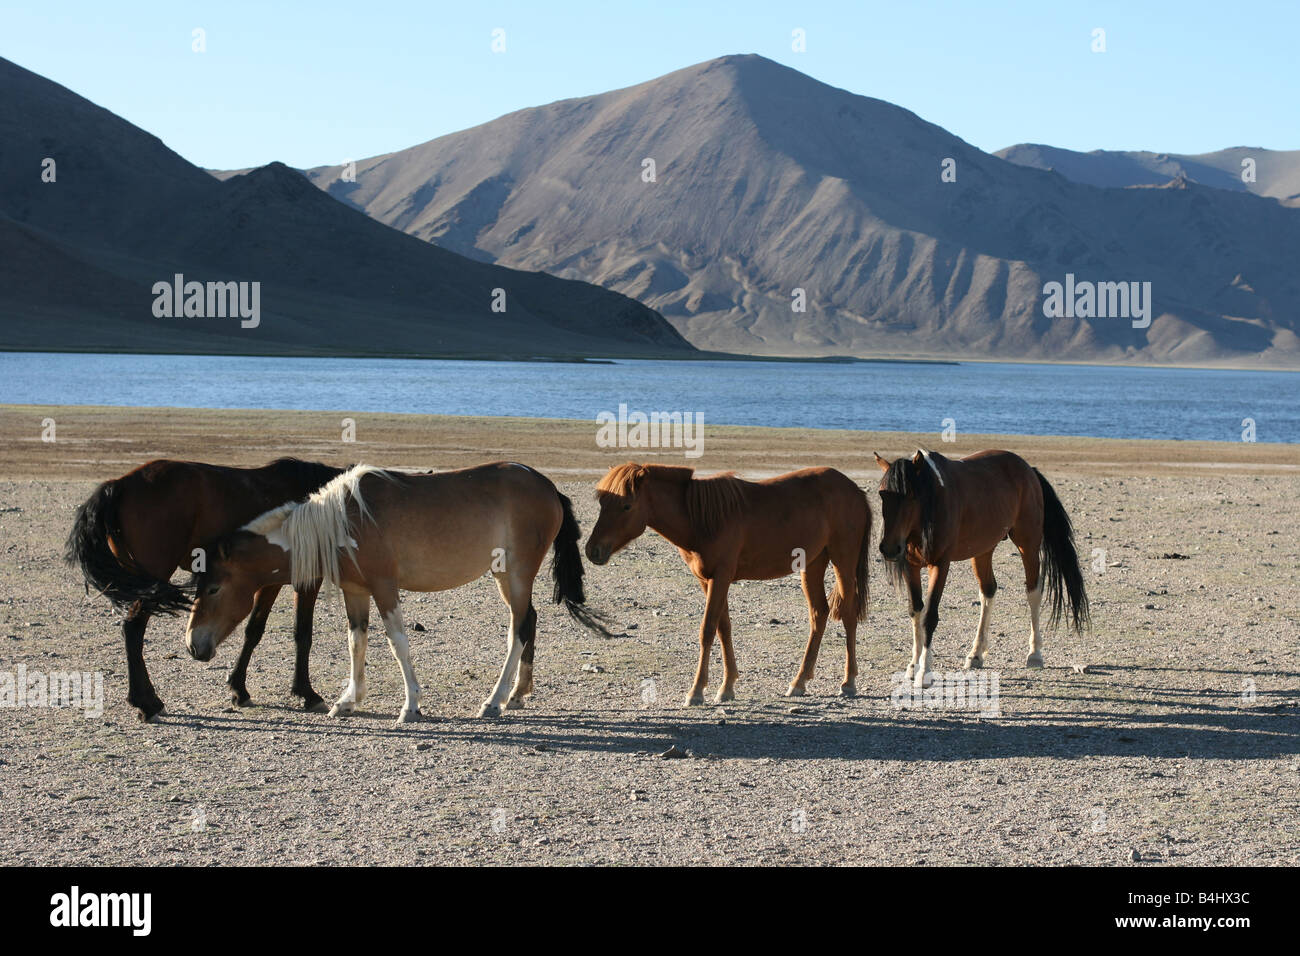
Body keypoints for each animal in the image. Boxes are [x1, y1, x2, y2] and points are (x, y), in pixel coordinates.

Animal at [64, 457, 343, 720]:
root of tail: (120, 484)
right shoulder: (305, 580)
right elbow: (302, 634)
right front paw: (307, 694)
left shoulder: (268, 582)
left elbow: (254, 630)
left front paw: (239, 689)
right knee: (133, 629)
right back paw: (147, 703)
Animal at [184, 462, 611, 722]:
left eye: (214, 587)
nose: (193, 645)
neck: (341, 522)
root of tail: (548, 487)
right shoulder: (356, 591)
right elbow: (356, 641)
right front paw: (348, 700)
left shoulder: (384, 586)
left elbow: (397, 641)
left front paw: (411, 705)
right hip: (506, 577)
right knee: (528, 623)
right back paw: (517, 695)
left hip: (518, 574)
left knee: (519, 629)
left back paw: (493, 702)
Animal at [585, 463, 871, 705]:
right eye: (602, 502)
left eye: (626, 506)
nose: (592, 550)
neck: (701, 518)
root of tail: (854, 490)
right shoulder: (707, 580)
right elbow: (723, 628)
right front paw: (727, 686)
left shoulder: (720, 577)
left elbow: (708, 630)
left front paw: (697, 691)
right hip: (812, 564)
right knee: (819, 614)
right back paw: (799, 682)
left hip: (843, 562)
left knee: (848, 613)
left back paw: (848, 682)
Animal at [873, 449, 1090, 688]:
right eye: (882, 495)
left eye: (911, 496)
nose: (889, 548)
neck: (932, 501)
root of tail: (1028, 469)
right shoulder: (910, 566)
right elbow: (915, 611)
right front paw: (913, 666)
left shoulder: (940, 564)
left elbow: (929, 615)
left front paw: (925, 672)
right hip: (983, 550)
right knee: (988, 591)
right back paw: (976, 654)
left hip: (1028, 543)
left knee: (1033, 591)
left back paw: (1034, 654)